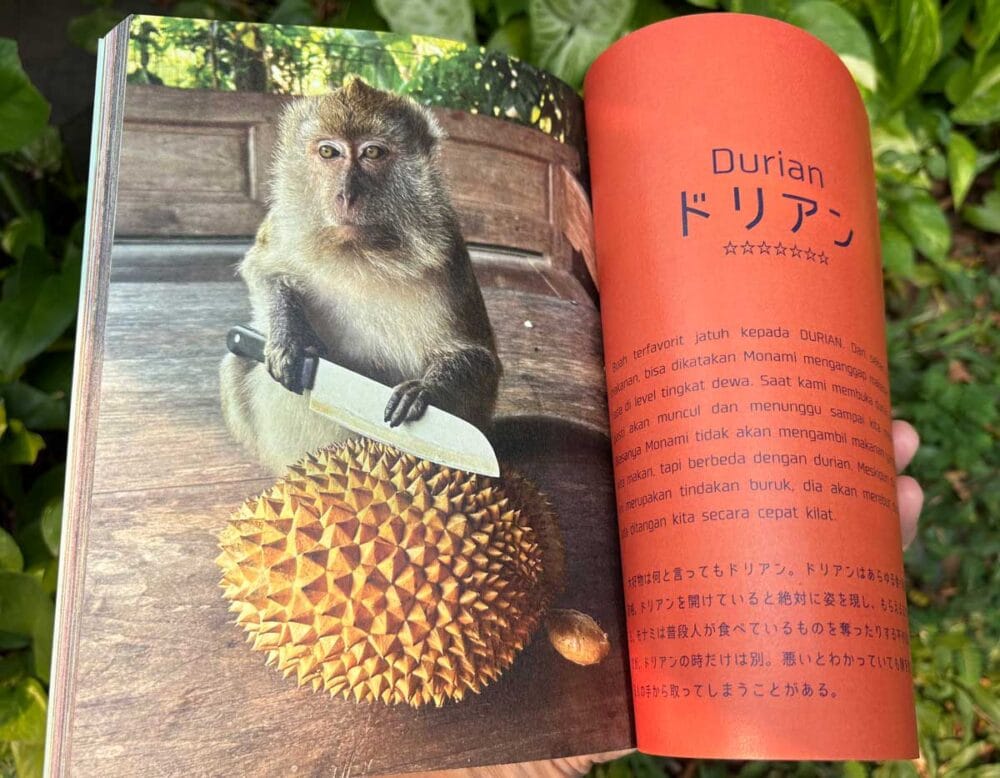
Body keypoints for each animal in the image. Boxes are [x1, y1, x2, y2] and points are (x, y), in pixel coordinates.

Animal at [220, 78, 501, 473]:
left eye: (373, 153)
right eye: (328, 152)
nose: (346, 195)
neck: (357, 252)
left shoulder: (447, 257)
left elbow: (479, 360)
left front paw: (427, 390)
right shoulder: (283, 225)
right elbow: (263, 268)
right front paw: (289, 335)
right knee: (236, 359)